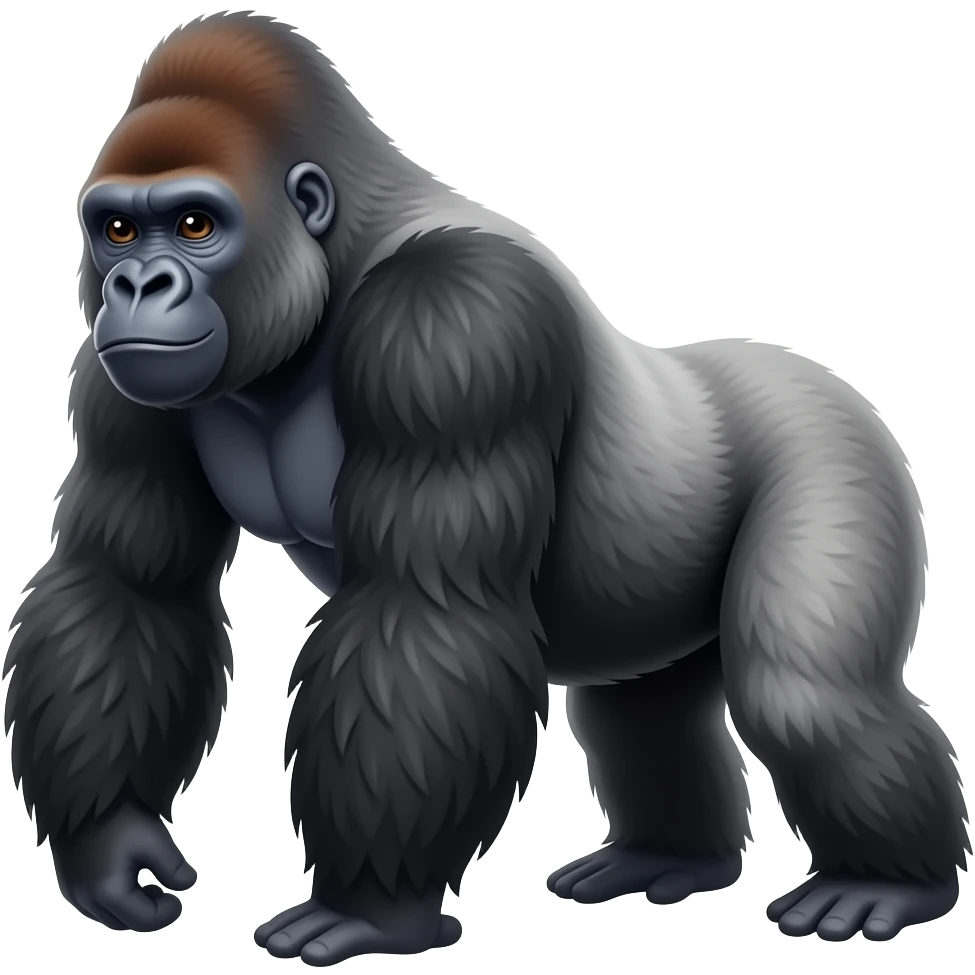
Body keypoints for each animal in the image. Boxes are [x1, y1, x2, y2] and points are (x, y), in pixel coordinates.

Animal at [2, 9, 968, 965]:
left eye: (198, 224)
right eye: (117, 231)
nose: (138, 285)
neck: (334, 260)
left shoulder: (455, 321)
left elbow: (424, 607)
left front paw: (372, 906)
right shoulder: (114, 378)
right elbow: (127, 585)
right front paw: (108, 841)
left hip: (834, 443)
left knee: (803, 695)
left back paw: (889, 882)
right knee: (644, 713)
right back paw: (667, 855)